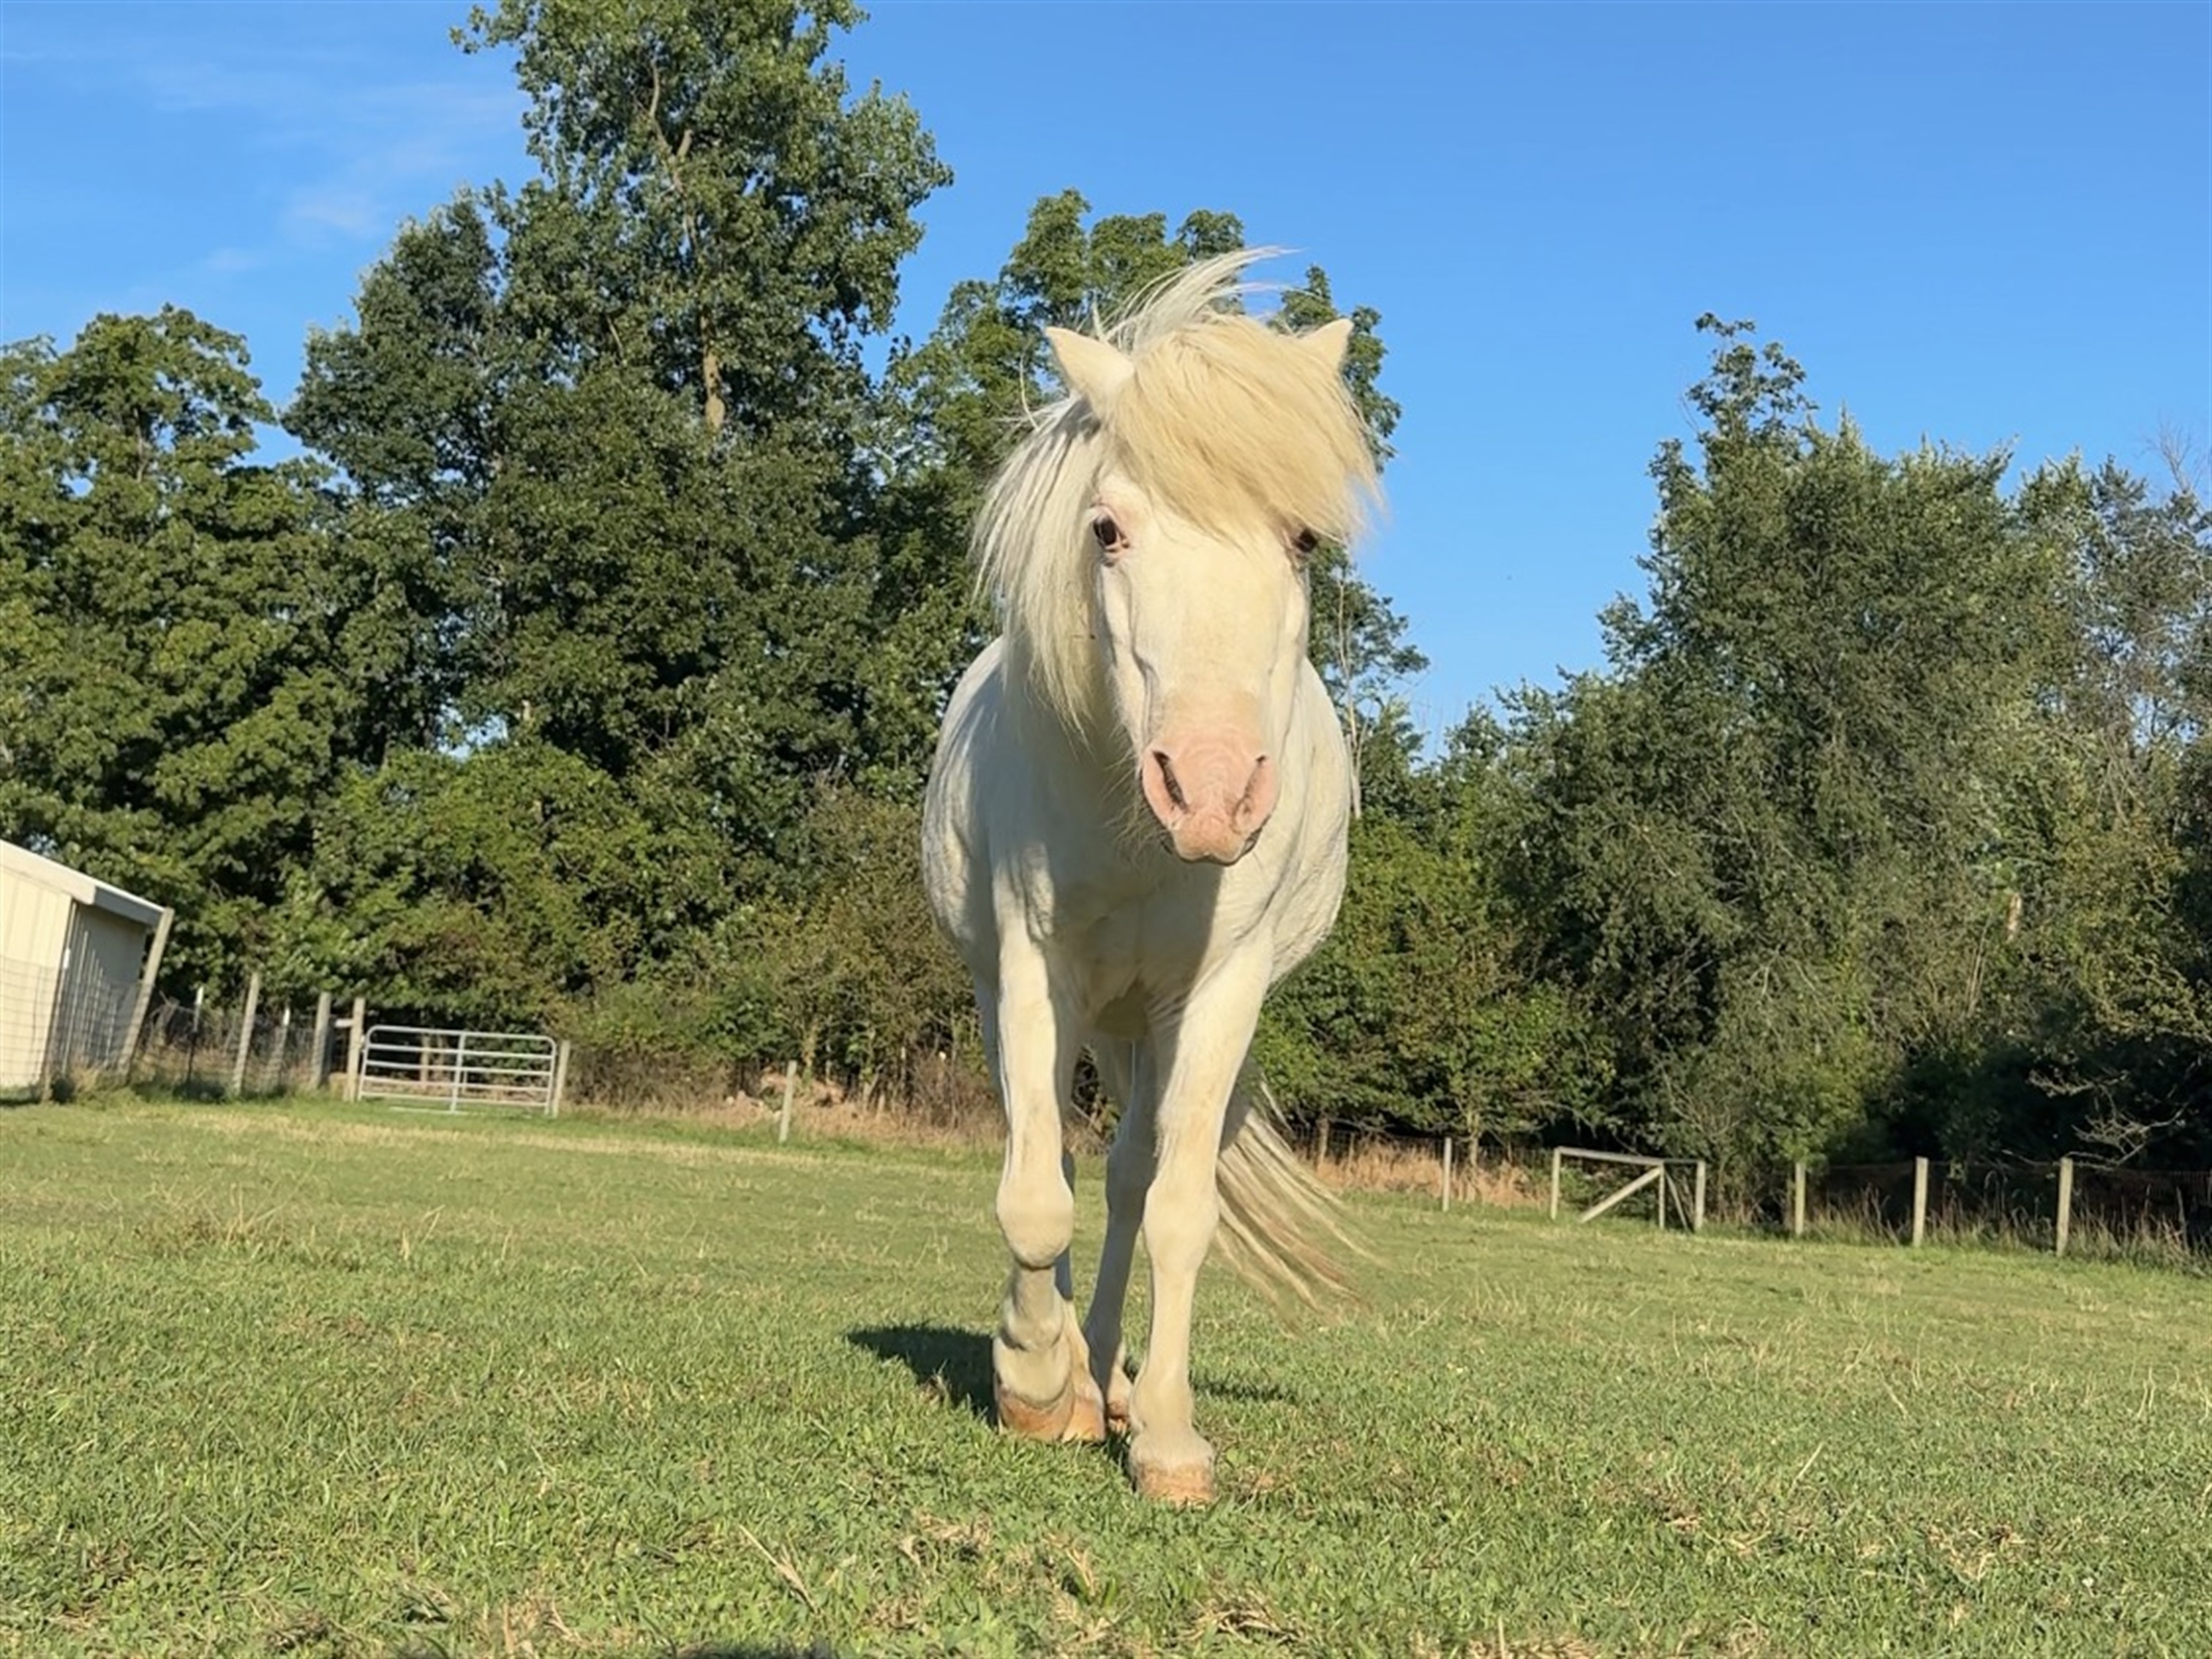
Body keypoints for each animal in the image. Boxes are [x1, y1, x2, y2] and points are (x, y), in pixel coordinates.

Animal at [920, 250, 1379, 1505]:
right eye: (1108, 531)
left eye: (1303, 540)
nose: (1212, 794)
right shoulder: (1036, 966)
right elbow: (1036, 1193)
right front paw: (1034, 1384)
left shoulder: (1219, 990)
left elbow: (1177, 1210)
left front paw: (1166, 1436)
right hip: (1050, 1000)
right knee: (1061, 1166)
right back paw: (1074, 1377)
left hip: (1154, 1020)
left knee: (1131, 1181)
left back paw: (1114, 1380)